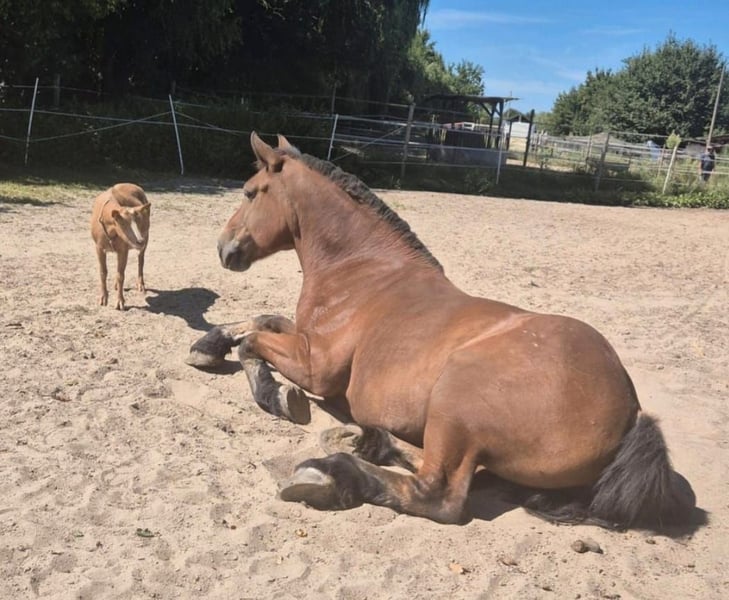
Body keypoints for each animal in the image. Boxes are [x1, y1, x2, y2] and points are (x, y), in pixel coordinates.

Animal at [187, 132, 696, 528]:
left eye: (251, 192)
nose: (223, 249)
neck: (362, 272)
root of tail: (629, 411)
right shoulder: (305, 337)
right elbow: (258, 321)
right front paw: (206, 345)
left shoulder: (316, 366)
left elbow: (255, 342)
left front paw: (277, 396)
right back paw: (366, 441)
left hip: (456, 400)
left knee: (438, 493)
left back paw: (329, 472)